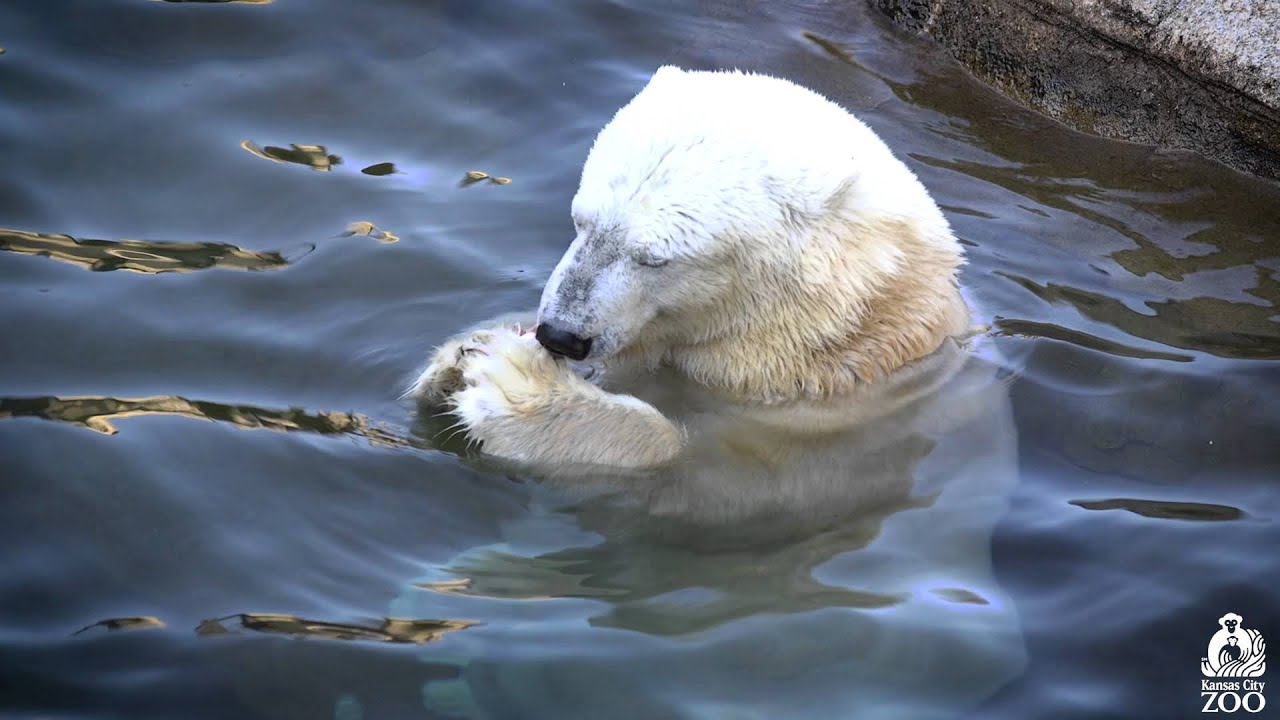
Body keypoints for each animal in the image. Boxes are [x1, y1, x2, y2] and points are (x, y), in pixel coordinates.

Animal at [410, 66, 972, 473]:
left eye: (654, 257)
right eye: (580, 220)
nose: (561, 335)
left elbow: (697, 461)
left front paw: (517, 389)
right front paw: (459, 358)